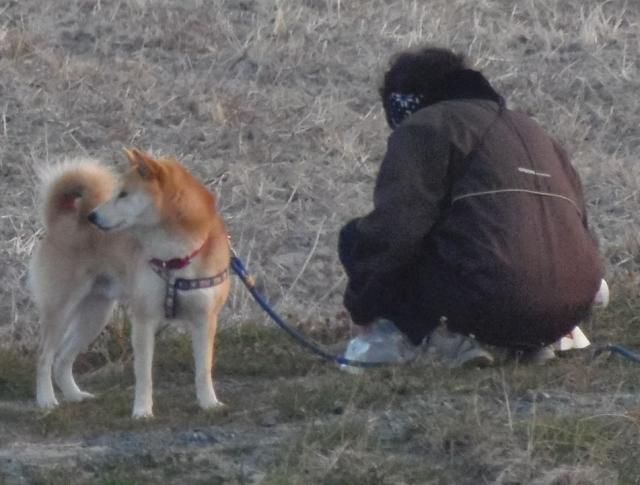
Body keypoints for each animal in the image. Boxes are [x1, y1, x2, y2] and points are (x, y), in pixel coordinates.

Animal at [30, 148, 230, 416]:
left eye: (124, 194)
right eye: (116, 192)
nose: (92, 216)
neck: (176, 257)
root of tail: (64, 219)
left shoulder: (204, 319)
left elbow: (203, 369)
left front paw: (209, 403)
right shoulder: (144, 319)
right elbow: (144, 374)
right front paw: (142, 411)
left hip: (95, 315)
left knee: (62, 359)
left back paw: (74, 395)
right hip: (61, 309)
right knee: (44, 356)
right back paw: (45, 400)